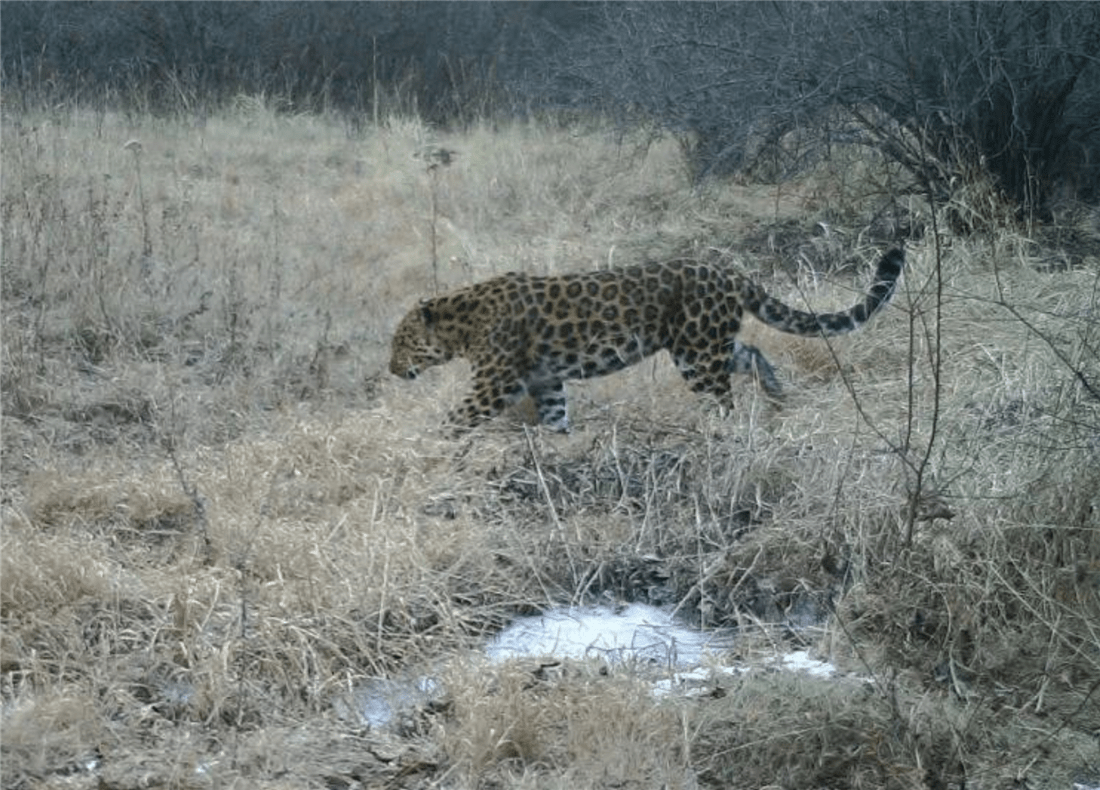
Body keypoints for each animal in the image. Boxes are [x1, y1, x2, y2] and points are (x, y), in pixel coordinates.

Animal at [391, 247, 906, 433]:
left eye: (400, 343)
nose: (393, 370)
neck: (462, 322)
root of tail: (730, 272)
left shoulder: (494, 383)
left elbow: (456, 417)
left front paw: (428, 448)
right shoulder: (544, 381)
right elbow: (555, 416)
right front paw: (558, 443)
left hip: (698, 354)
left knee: (723, 400)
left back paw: (722, 432)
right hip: (701, 346)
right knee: (749, 353)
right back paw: (777, 392)